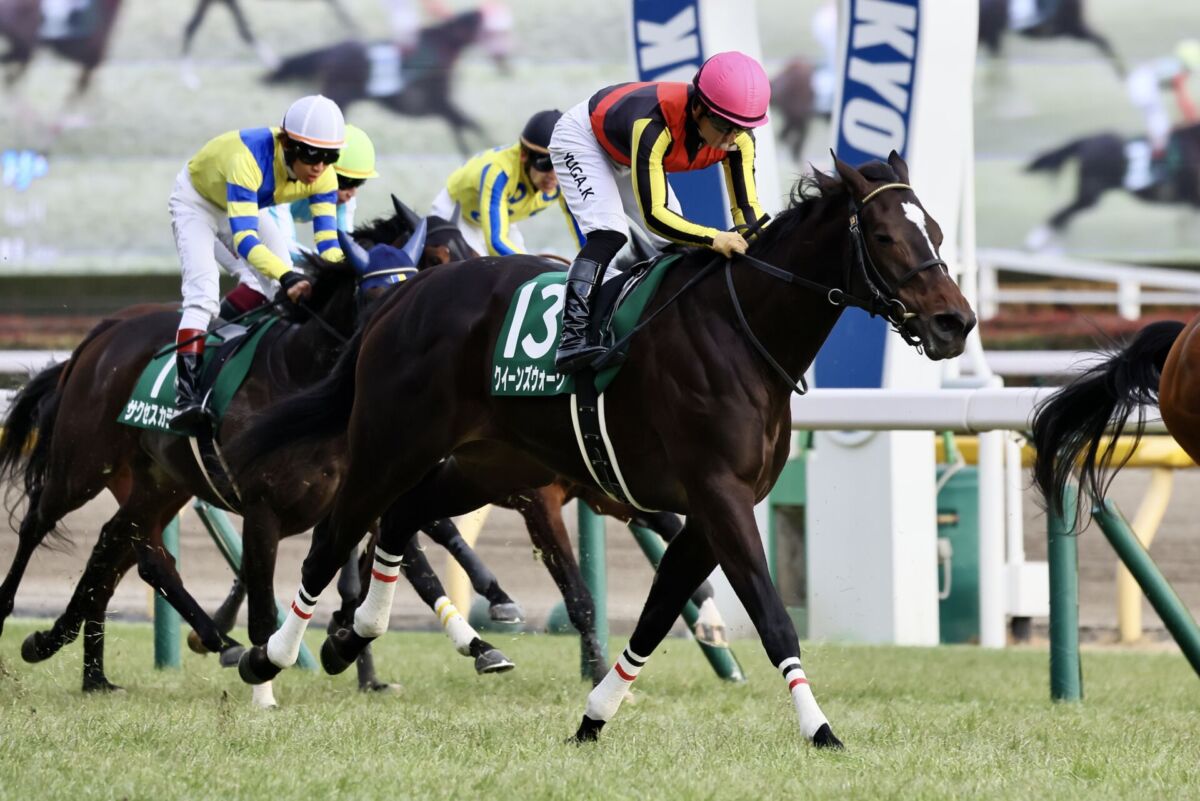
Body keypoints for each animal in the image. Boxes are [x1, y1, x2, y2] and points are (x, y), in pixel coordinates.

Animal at [229, 152, 976, 748]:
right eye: (884, 235)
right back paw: (269, 657)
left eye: (937, 232)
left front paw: (594, 717)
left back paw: (355, 635)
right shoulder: (719, 495)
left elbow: (656, 616)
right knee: (335, 537)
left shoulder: (704, 510)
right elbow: (771, 619)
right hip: (392, 440)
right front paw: (820, 729)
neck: (739, 332)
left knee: (402, 516)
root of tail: (406, 293)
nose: (956, 321)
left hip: (489, 461)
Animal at [263, 9, 506, 155]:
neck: (441, 48)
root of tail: (331, 52)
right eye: (492, 32)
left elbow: (463, 126)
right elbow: (470, 123)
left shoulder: (442, 107)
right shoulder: (439, 104)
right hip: (338, 97)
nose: (504, 60)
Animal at [1023, 122, 1200, 250]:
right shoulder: (1194, 199)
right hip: (1089, 195)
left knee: (1064, 216)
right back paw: (1035, 241)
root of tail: (1085, 141)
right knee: (1062, 213)